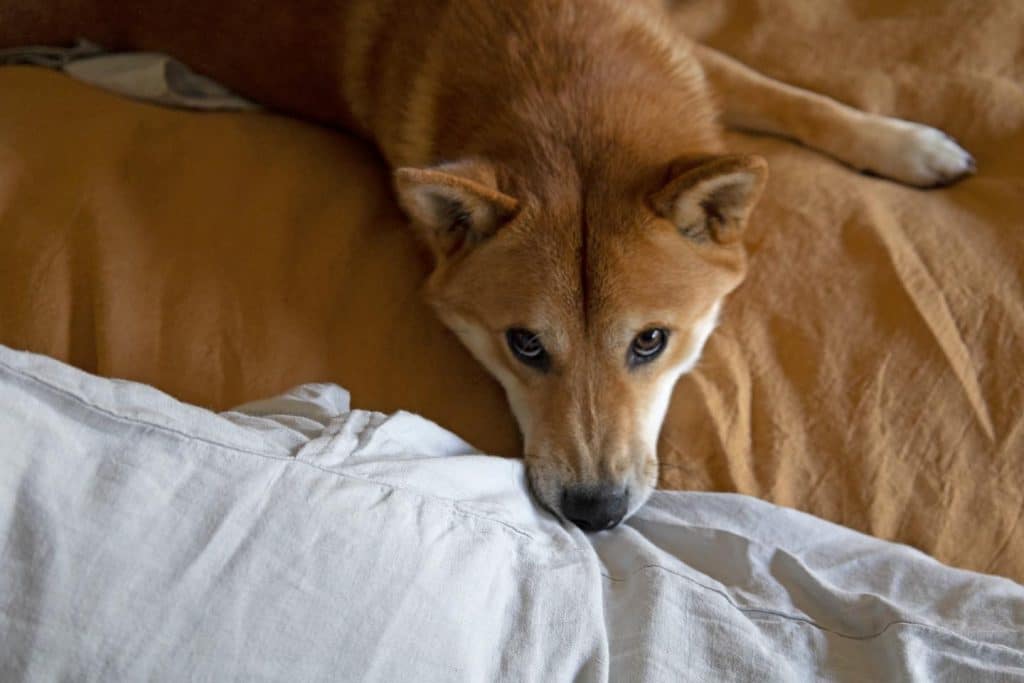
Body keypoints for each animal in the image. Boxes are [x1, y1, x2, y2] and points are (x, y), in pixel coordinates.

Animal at [2, 0, 974, 528]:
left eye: (651, 342)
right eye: (525, 345)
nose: (593, 512)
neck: (561, 69)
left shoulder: (684, 61)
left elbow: (790, 95)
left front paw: (909, 144)